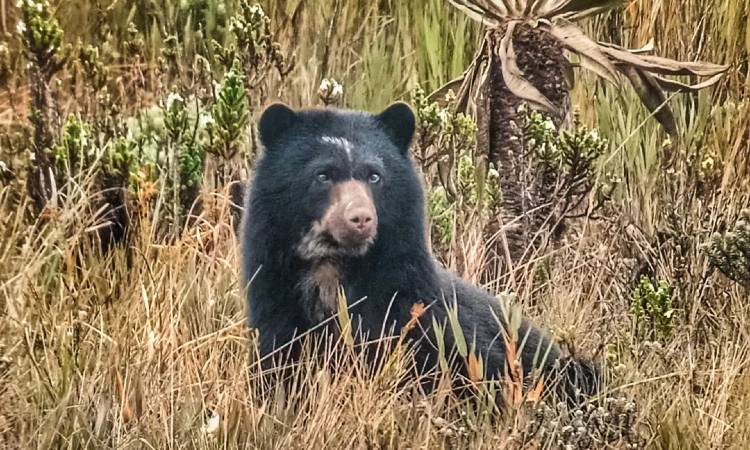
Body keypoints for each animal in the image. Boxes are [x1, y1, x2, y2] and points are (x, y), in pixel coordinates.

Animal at [241, 102, 600, 404]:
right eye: (322, 175)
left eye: (375, 175)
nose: (360, 219)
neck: (333, 269)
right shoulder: (277, 307)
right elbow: (278, 371)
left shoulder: (417, 312)